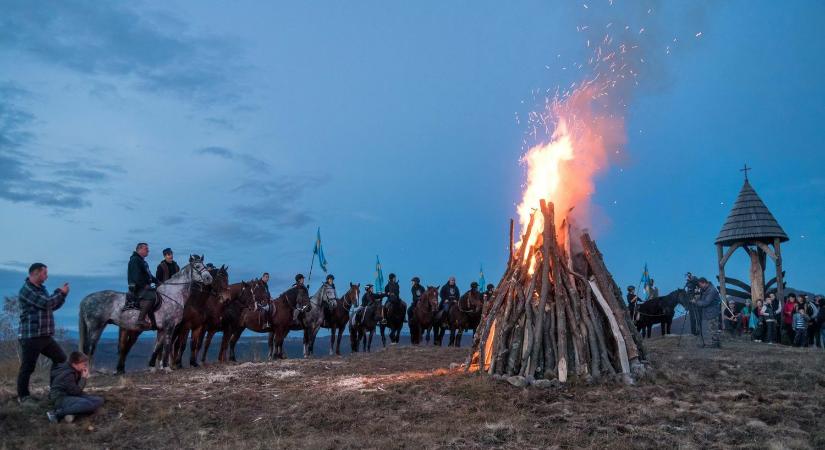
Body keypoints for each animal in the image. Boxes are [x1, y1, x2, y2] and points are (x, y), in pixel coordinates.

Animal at [78, 255, 212, 374]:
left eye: (205, 265)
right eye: (197, 266)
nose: (208, 278)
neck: (172, 294)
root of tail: (86, 299)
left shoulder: (161, 329)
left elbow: (157, 346)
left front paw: (152, 367)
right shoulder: (169, 327)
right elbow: (167, 346)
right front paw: (166, 367)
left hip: (100, 327)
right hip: (95, 327)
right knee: (89, 349)